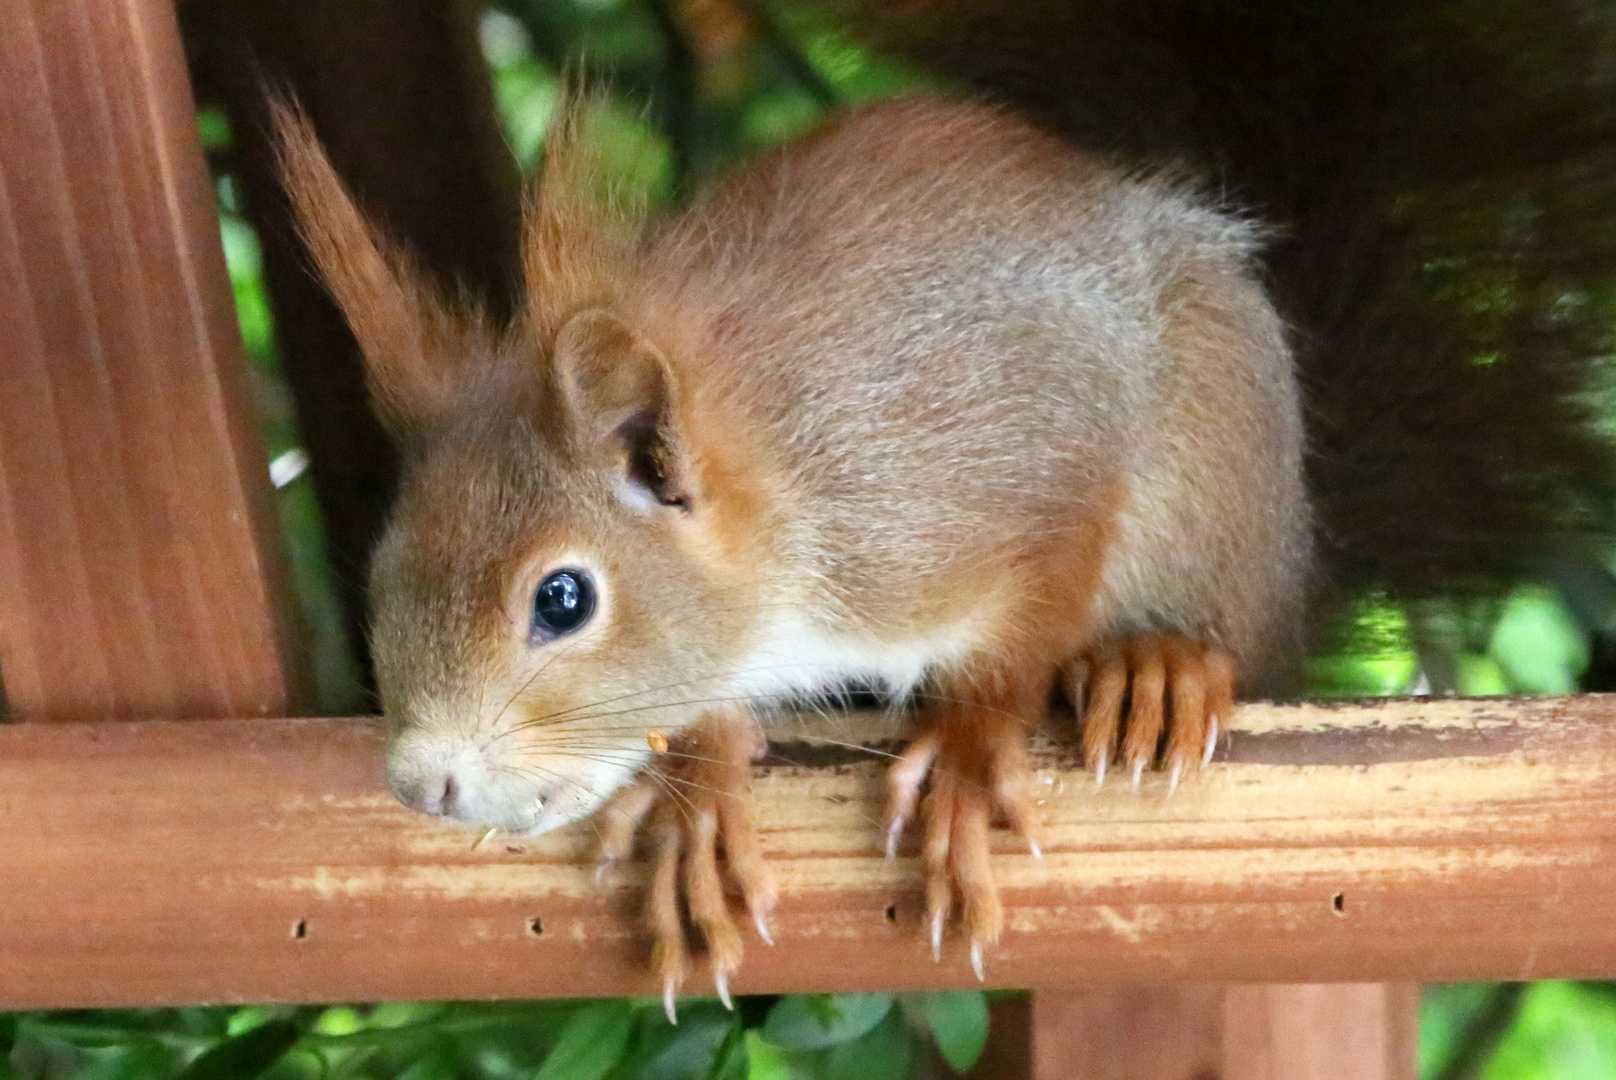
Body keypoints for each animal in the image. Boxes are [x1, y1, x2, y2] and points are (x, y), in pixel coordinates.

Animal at [274, 92, 1312, 1015]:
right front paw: (697, 793)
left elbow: (1035, 612)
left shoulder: (1012, 481)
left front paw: (968, 756)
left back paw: (1159, 664)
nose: (421, 786)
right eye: (382, 580)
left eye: (563, 599)